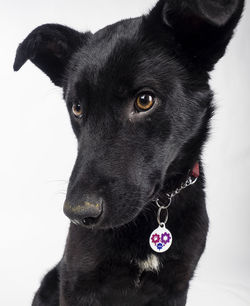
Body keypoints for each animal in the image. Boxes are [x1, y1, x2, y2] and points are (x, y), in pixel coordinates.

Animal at [13, 1, 244, 304]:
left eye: (144, 100)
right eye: (77, 108)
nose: (78, 214)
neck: (157, 209)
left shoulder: (176, 287)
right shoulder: (77, 282)